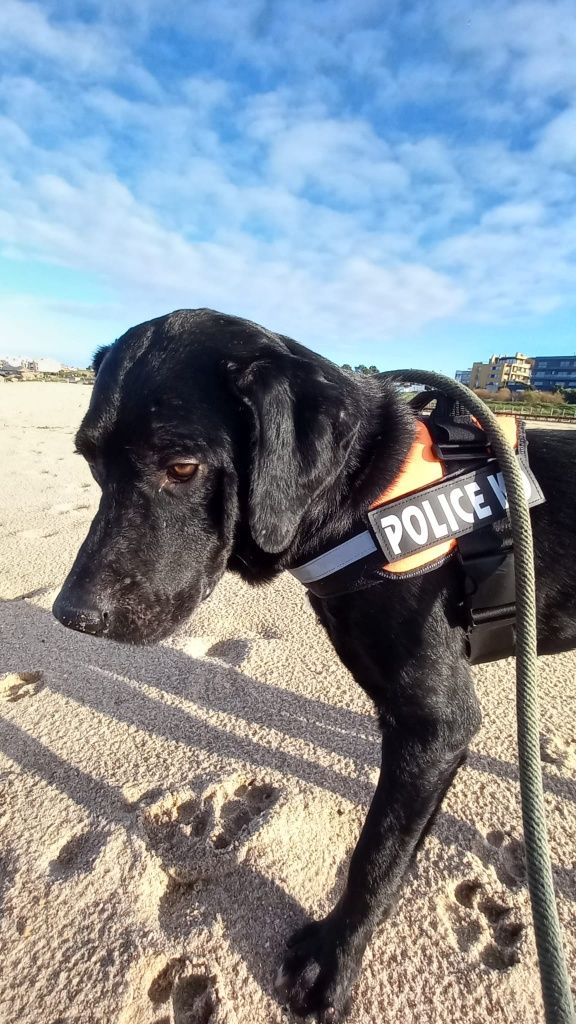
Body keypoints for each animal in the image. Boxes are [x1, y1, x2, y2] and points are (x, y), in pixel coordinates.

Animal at [52, 307, 573, 1019]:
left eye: (182, 466)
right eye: (90, 461)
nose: (70, 614)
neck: (363, 493)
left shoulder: (435, 724)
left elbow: (378, 854)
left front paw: (334, 961)